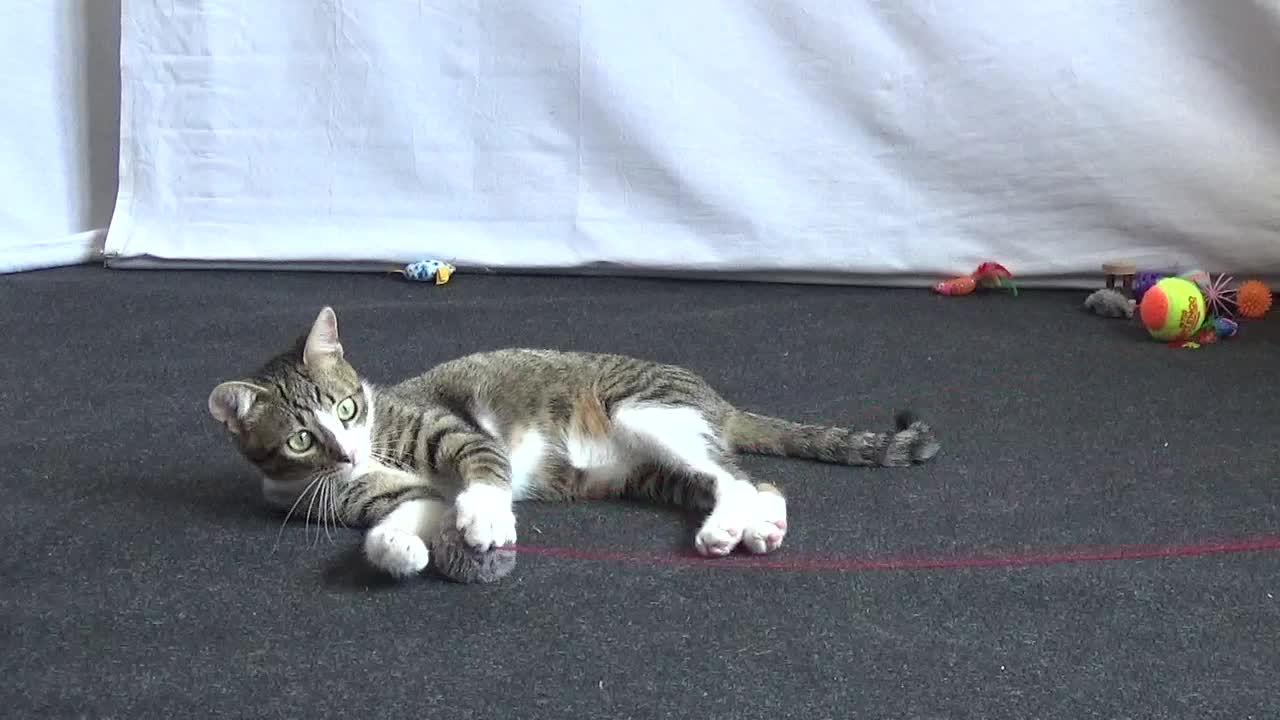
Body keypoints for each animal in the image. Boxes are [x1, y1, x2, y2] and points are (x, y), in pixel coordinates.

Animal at [204, 304, 936, 573]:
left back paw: (733, 525)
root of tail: (715, 398)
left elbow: (482, 466)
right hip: (647, 471)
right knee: (754, 482)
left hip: (645, 411)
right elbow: (412, 513)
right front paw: (398, 549)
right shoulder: (393, 496)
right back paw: (756, 525)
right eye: (302, 440)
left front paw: (485, 515)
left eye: (349, 407)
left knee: (734, 474)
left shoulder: (452, 429)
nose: (350, 451)